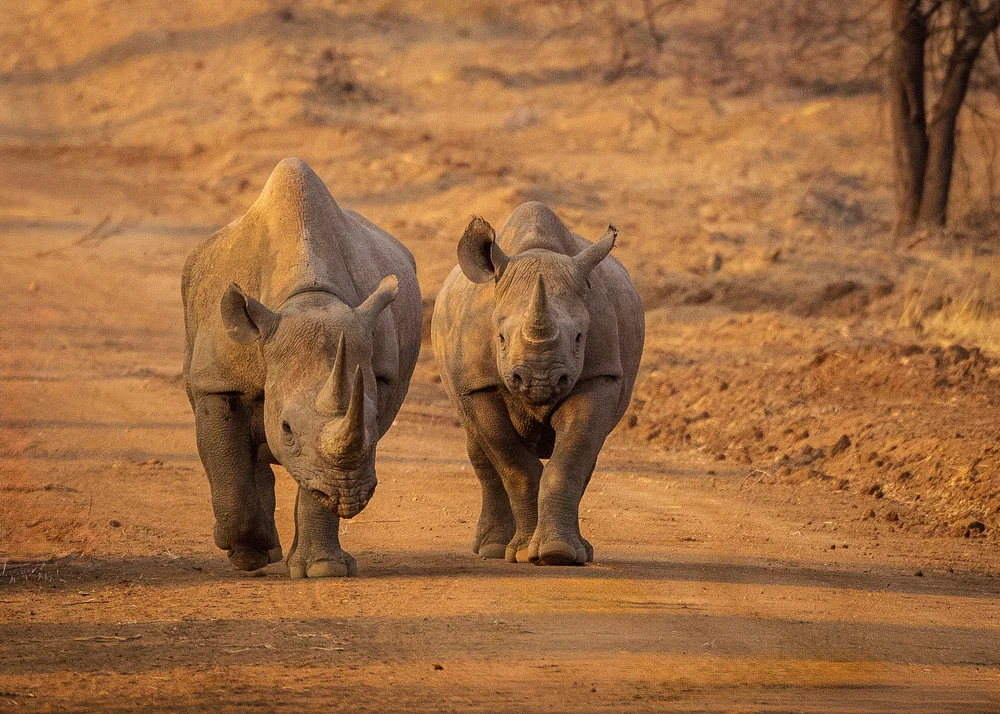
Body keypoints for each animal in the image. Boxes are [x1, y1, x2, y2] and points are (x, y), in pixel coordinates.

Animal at [182, 158, 421, 578]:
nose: (348, 495)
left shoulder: (376, 378)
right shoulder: (217, 381)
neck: (306, 300)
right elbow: (226, 461)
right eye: (286, 429)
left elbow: (315, 479)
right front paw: (249, 553)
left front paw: (323, 569)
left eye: (375, 425)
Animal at [431, 202, 644, 565]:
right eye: (500, 338)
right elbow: (513, 463)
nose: (539, 379)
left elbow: (571, 458)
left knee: (589, 453)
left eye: (579, 337)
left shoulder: (599, 376)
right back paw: (492, 549)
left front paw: (557, 554)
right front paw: (520, 552)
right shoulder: (477, 385)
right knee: (479, 447)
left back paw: (580, 551)